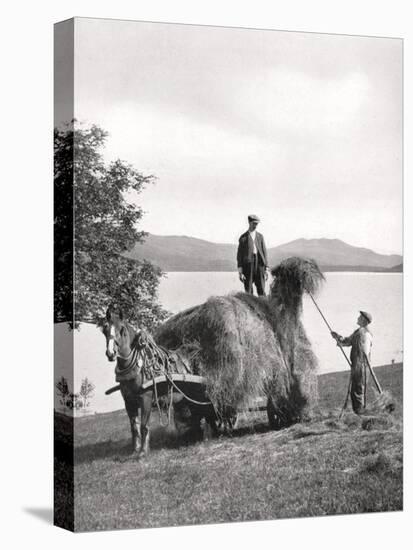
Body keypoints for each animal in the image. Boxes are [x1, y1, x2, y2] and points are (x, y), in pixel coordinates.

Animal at [102, 306, 219, 458]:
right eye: (104, 329)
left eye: (122, 329)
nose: (111, 353)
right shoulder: (128, 401)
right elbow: (134, 427)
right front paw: (135, 450)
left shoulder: (146, 396)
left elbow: (144, 425)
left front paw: (143, 452)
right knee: (199, 413)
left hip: (203, 392)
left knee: (209, 410)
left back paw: (212, 434)